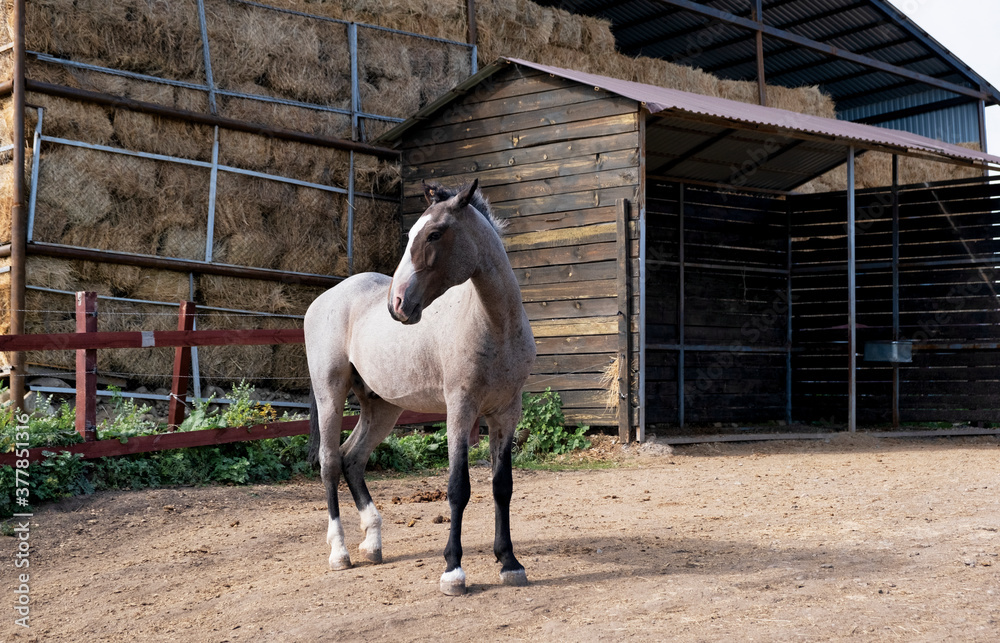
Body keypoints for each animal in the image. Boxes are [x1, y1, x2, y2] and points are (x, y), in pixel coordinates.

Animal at [304, 179, 536, 595]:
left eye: (434, 234)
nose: (397, 305)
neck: (495, 325)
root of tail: (324, 299)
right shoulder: (460, 409)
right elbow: (458, 487)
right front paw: (453, 571)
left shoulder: (507, 412)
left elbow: (502, 486)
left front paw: (509, 562)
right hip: (330, 393)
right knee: (330, 463)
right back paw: (340, 553)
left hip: (381, 407)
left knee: (352, 458)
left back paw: (373, 543)